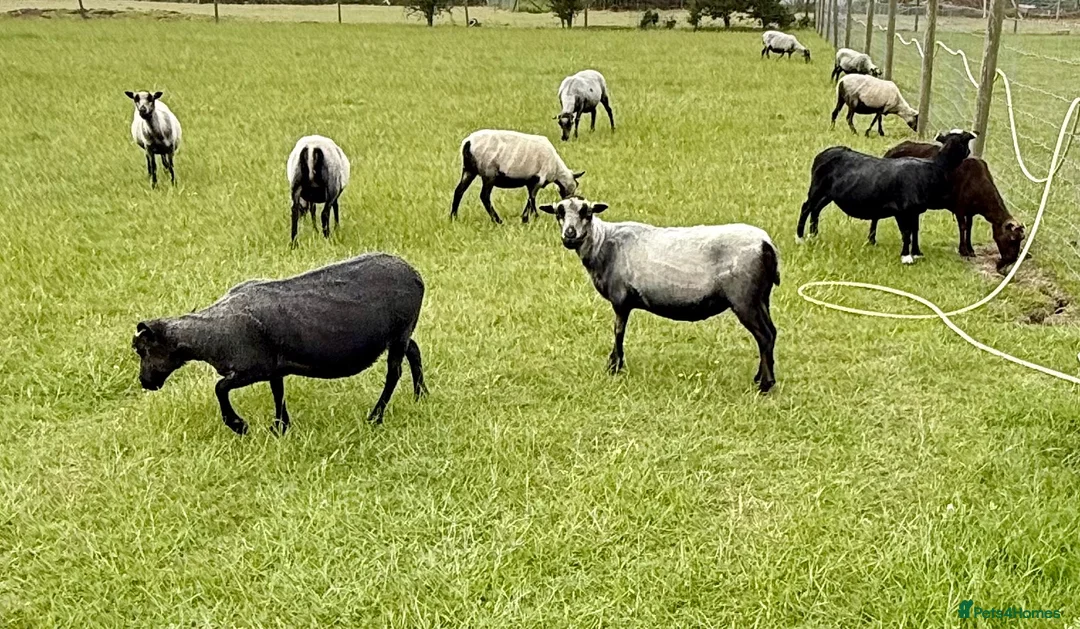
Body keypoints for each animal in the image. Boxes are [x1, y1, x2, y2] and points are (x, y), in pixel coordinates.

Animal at [132, 253, 427, 435]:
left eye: (143, 350)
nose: (145, 382)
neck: (208, 335)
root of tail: (415, 274)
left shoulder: (253, 368)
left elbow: (220, 388)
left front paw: (239, 425)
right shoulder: (275, 366)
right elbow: (278, 392)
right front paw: (281, 427)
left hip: (400, 330)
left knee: (394, 372)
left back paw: (376, 416)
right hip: (401, 332)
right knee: (413, 350)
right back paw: (421, 395)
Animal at [450, 129, 585, 224]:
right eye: (576, 185)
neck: (557, 170)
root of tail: (468, 143)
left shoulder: (531, 182)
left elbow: (530, 199)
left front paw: (526, 219)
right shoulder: (537, 180)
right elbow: (532, 199)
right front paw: (532, 218)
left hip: (468, 171)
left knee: (459, 191)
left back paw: (453, 218)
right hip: (489, 173)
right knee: (484, 196)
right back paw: (498, 221)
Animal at [539, 198, 781, 392]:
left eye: (587, 213)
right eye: (559, 213)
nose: (569, 235)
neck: (603, 243)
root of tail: (766, 244)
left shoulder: (620, 299)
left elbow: (618, 331)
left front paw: (614, 367)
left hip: (744, 297)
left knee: (764, 336)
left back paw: (765, 385)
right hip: (761, 297)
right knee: (771, 333)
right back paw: (760, 378)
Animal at [796, 130, 976, 264]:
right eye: (966, 141)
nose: (970, 152)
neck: (934, 168)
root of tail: (823, 153)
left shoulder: (914, 210)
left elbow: (915, 230)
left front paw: (917, 253)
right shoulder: (902, 209)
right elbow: (906, 232)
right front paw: (906, 257)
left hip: (828, 194)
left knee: (816, 209)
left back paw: (814, 235)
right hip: (817, 188)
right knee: (806, 207)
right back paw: (800, 238)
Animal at [871, 136, 1025, 271]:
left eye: (1021, 239)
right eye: (1012, 239)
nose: (1010, 261)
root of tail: (891, 150)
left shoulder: (970, 211)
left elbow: (969, 227)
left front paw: (970, 250)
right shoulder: (960, 207)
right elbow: (963, 227)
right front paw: (963, 250)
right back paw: (872, 240)